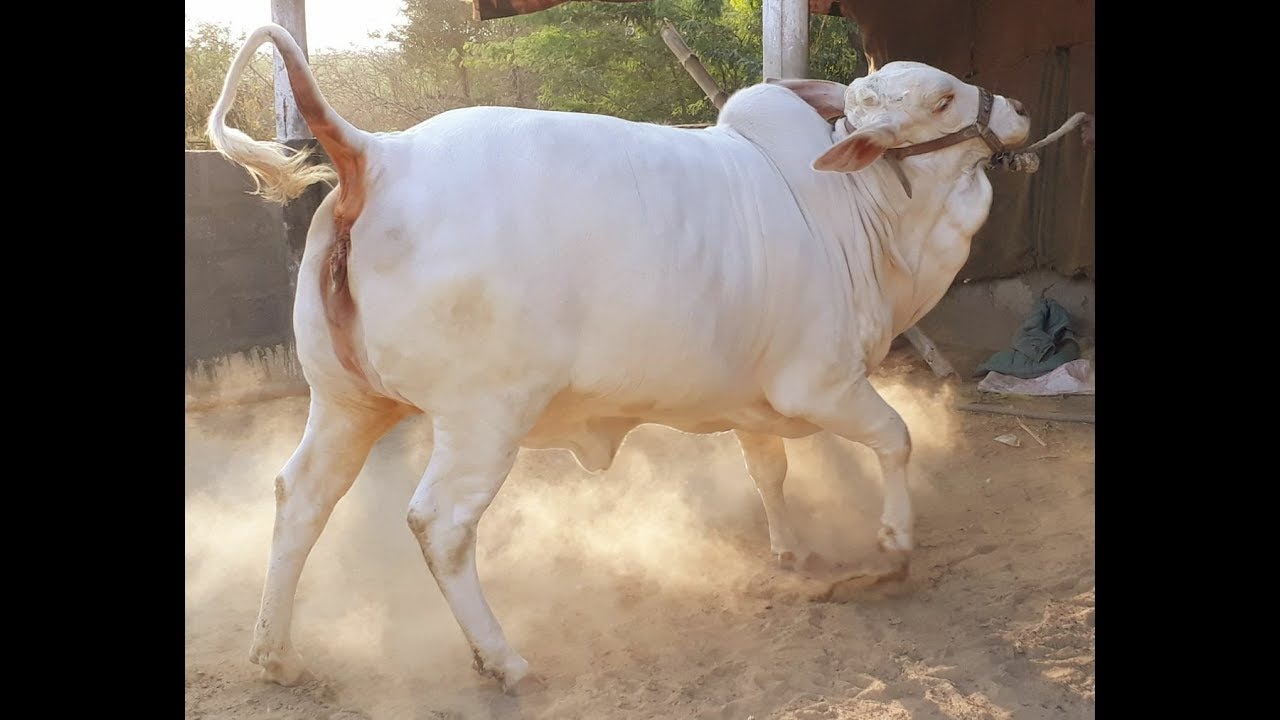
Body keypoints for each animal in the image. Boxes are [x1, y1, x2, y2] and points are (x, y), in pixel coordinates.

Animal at [207, 25, 1029, 691]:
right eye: (946, 97)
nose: (1018, 110)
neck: (859, 208)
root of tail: (380, 155)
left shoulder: (755, 399)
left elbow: (769, 470)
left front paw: (791, 550)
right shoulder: (823, 384)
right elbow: (896, 439)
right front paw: (893, 545)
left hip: (345, 403)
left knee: (300, 497)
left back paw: (276, 654)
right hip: (483, 418)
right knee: (440, 526)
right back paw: (502, 660)